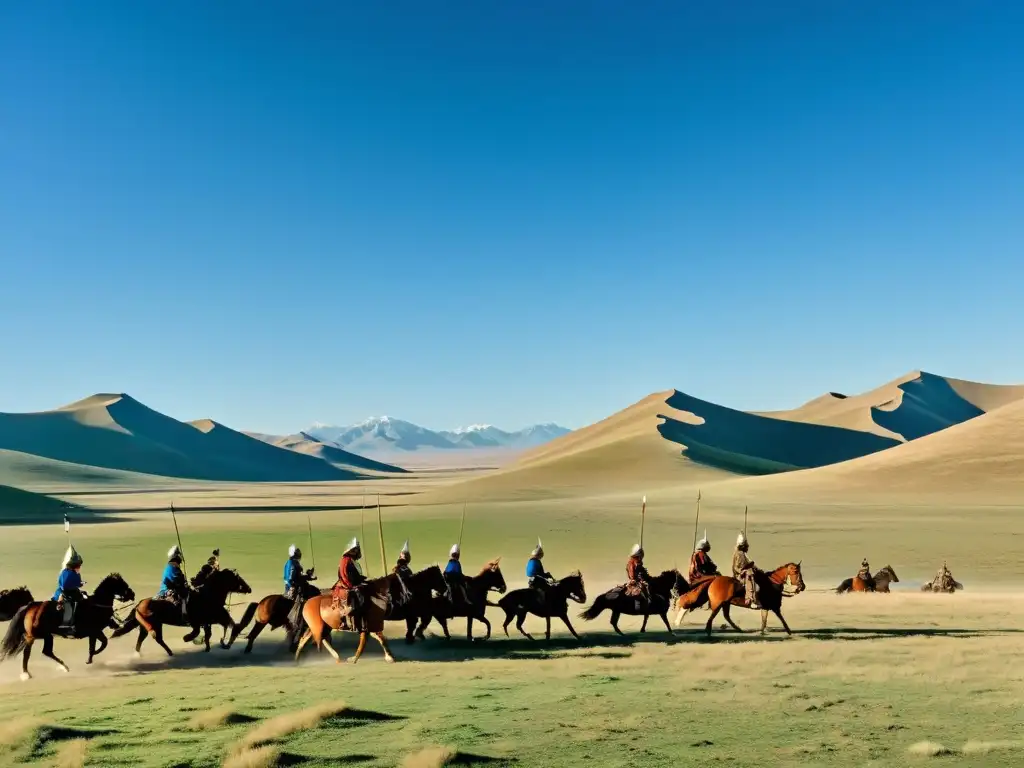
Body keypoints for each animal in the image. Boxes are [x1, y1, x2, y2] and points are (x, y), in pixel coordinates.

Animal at [0, 573, 135, 684]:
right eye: (122, 584)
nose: (133, 594)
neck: (96, 604)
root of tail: (30, 607)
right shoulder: (94, 631)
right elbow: (102, 643)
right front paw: (92, 656)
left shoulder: (95, 632)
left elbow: (98, 644)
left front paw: (90, 658)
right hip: (35, 636)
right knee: (27, 653)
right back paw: (26, 674)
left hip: (47, 636)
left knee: (46, 651)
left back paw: (64, 667)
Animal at [111, 569, 251, 659]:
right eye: (238, 578)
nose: (249, 588)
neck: (207, 596)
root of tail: (139, 604)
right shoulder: (199, 621)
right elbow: (200, 632)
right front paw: (188, 638)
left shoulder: (210, 620)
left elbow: (212, 632)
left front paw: (209, 648)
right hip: (155, 624)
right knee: (157, 638)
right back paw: (170, 652)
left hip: (145, 626)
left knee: (142, 639)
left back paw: (140, 654)